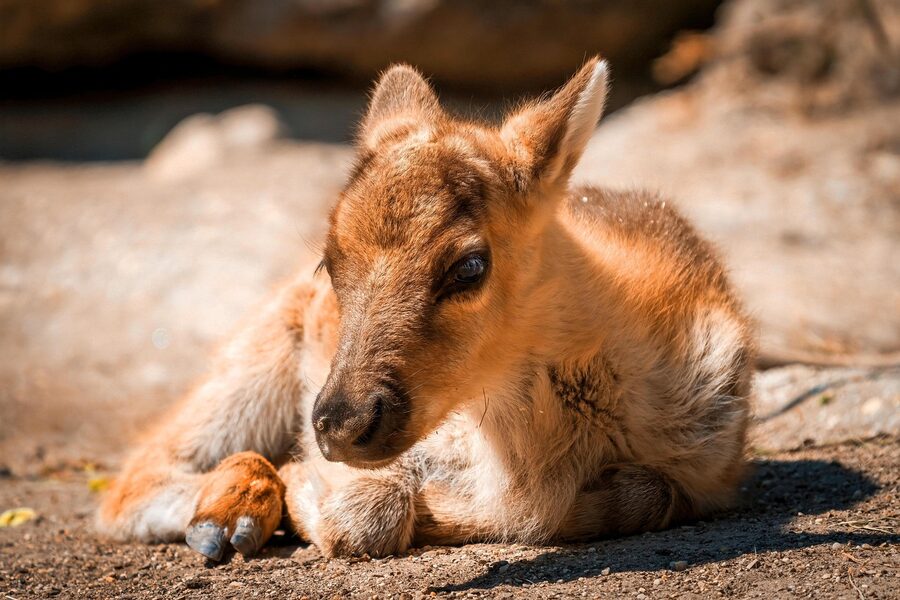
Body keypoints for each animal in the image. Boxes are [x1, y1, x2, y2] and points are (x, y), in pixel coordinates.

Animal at [97, 57, 755, 561]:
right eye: (329, 264)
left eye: (470, 266)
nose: (339, 425)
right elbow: (361, 514)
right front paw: (302, 485)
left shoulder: (712, 465)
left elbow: (644, 495)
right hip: (249, 363)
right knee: (130, 481)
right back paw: (226, 522)